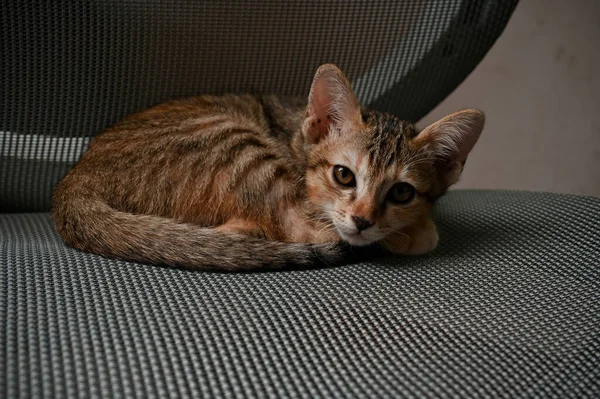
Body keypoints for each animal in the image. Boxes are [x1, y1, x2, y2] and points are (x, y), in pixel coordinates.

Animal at [51, 65, 482, 272]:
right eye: (344, 175)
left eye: (401, 192)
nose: (363, 220)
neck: (295, 138)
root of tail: (76, 181)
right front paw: (414, 232)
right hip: (237, 147)